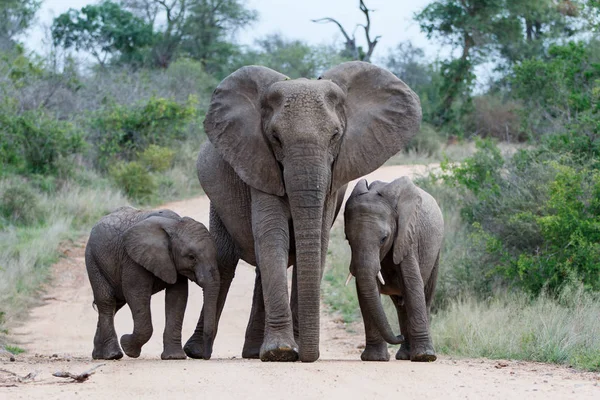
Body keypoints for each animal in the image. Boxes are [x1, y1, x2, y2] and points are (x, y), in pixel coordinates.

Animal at [85, 208, 219, 360]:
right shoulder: (132, 258)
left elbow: (177, 297)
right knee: (107, 301)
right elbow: (136, 293)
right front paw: (128, 348)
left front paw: (174, 357)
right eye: (191, 257)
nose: (205, 356)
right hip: (93, 259)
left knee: (115, 304)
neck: (174, 224)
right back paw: (113, 355)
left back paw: (99, 355)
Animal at [184, 60, 422, 362]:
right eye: (275, 138)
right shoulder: (260, 163)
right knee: (225, 262)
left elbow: (315, 242)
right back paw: (198, 352)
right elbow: (273, 236)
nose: (310, 355)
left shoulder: (335, 177)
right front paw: (282, 352)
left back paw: (253, 352)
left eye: (335, 136)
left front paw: (288, 350)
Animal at [344, 178, 442, 362]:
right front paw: (375, 359)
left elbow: (412, 284)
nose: (398, 336)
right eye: (348, 239)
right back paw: (405, 355)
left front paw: (424, 357)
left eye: (384, 239)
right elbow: (365, 291)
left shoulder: (407, 237)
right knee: (400, 305)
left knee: (425, 296)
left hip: (436, 253)